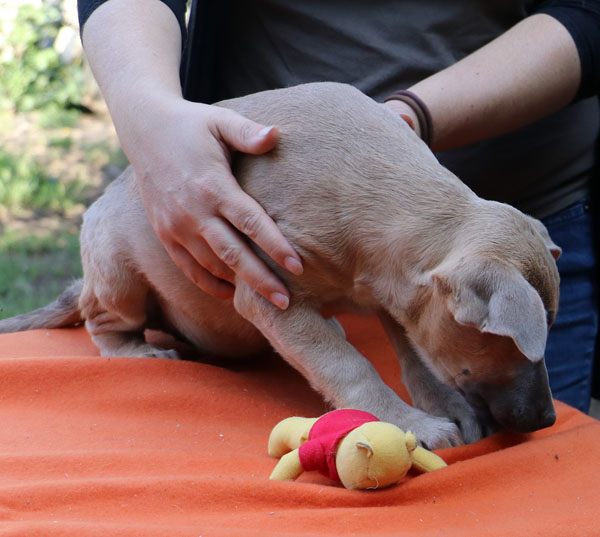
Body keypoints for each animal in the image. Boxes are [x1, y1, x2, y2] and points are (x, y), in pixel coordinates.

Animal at [2, 80, 560, 448]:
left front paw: (445, 408)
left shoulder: (395, 296)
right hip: (118, 275)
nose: (547, 421)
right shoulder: (272, 294)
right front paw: (408, 424)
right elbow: (349, 364)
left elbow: (418, 357)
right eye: (510, 343)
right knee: (103, 323)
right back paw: (140, 351)